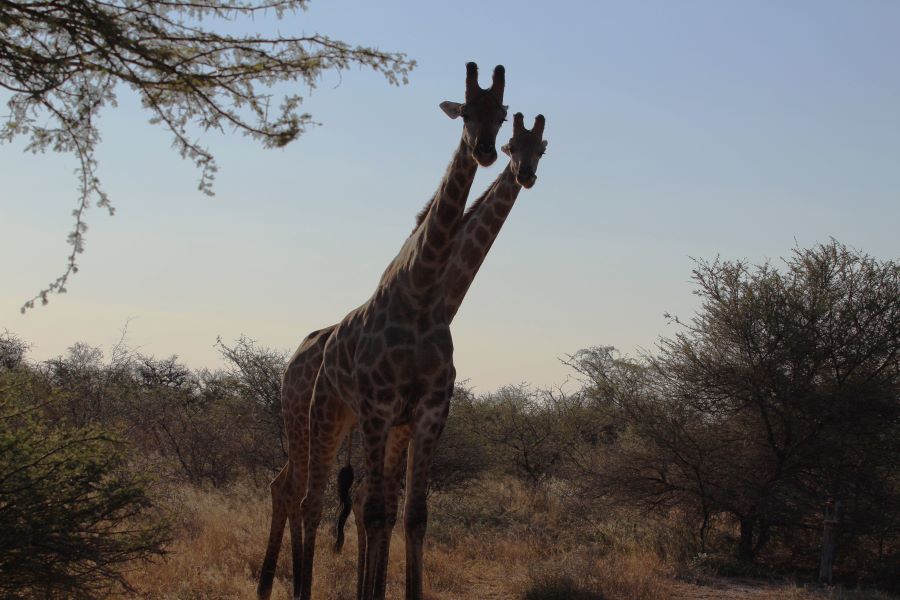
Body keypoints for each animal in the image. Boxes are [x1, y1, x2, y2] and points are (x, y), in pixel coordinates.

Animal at [257, 62, 508, 600]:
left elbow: (408, 514)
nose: (488, 151)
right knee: (304, 495)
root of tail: (301, 353)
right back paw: (286, 587)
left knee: (302, 490)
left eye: (502, 115)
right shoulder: (380, 409)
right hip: (313, 417)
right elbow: (374, 511)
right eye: (465, 112)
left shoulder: (425, 413)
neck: (425, 295)